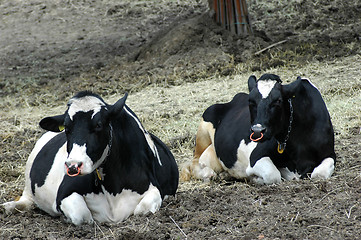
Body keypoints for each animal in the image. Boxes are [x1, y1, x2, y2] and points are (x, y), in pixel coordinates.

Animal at [2, 91, 178, 224]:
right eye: (67, 128)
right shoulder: (64, 193)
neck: (113, 189)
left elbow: (142, 210)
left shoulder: (155, 190)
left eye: (99, 124)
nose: (73, 166)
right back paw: (8, 206)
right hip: (28, 178)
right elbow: (82, 215)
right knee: (27, 200)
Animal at [180, 73, 334, 184]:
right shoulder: (256, 156)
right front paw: (254, 178)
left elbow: (318, 174)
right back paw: (208, 173)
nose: (257, 131)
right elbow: (273, 175)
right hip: (204, 128)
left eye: (278, 101)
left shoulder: (330, 154)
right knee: (194, 161)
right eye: (251, 101)